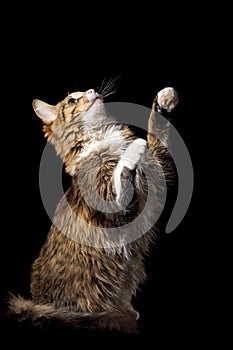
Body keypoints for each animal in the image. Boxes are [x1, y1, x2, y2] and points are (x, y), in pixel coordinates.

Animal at [7, 83, 178, 332]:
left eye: (84, 91)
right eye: (71, 101)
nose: (91, 90)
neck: (101, 134)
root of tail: (35, 302)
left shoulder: (159, 174)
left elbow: (157, 131)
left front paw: (165, 100)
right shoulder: (118, 209)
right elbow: (123, 172)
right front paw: (134, 149)